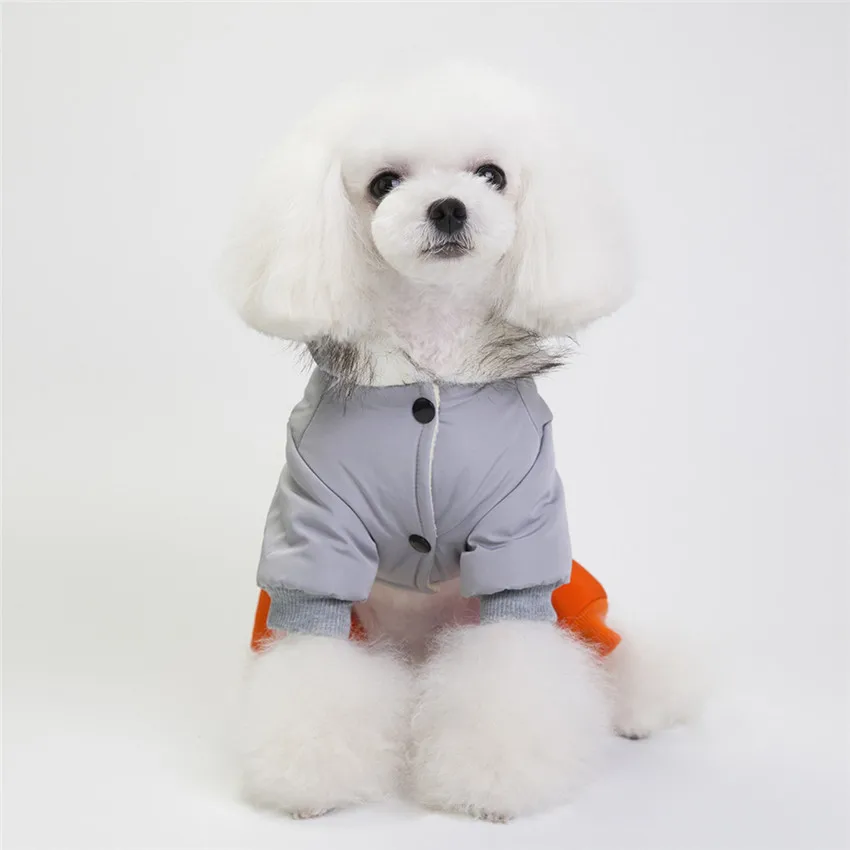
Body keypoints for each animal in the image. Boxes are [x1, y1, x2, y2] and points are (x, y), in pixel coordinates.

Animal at [223, 65, 703, 822]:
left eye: (491, 175)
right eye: (384, 182)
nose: (448, 208)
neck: (432, 373)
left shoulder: (520, 540)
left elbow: (511, 666)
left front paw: (493, 782)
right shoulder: (317, 538)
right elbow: (313, 665)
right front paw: (311, 779)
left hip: (577, 605)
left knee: (618, 652)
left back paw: (639, 707)